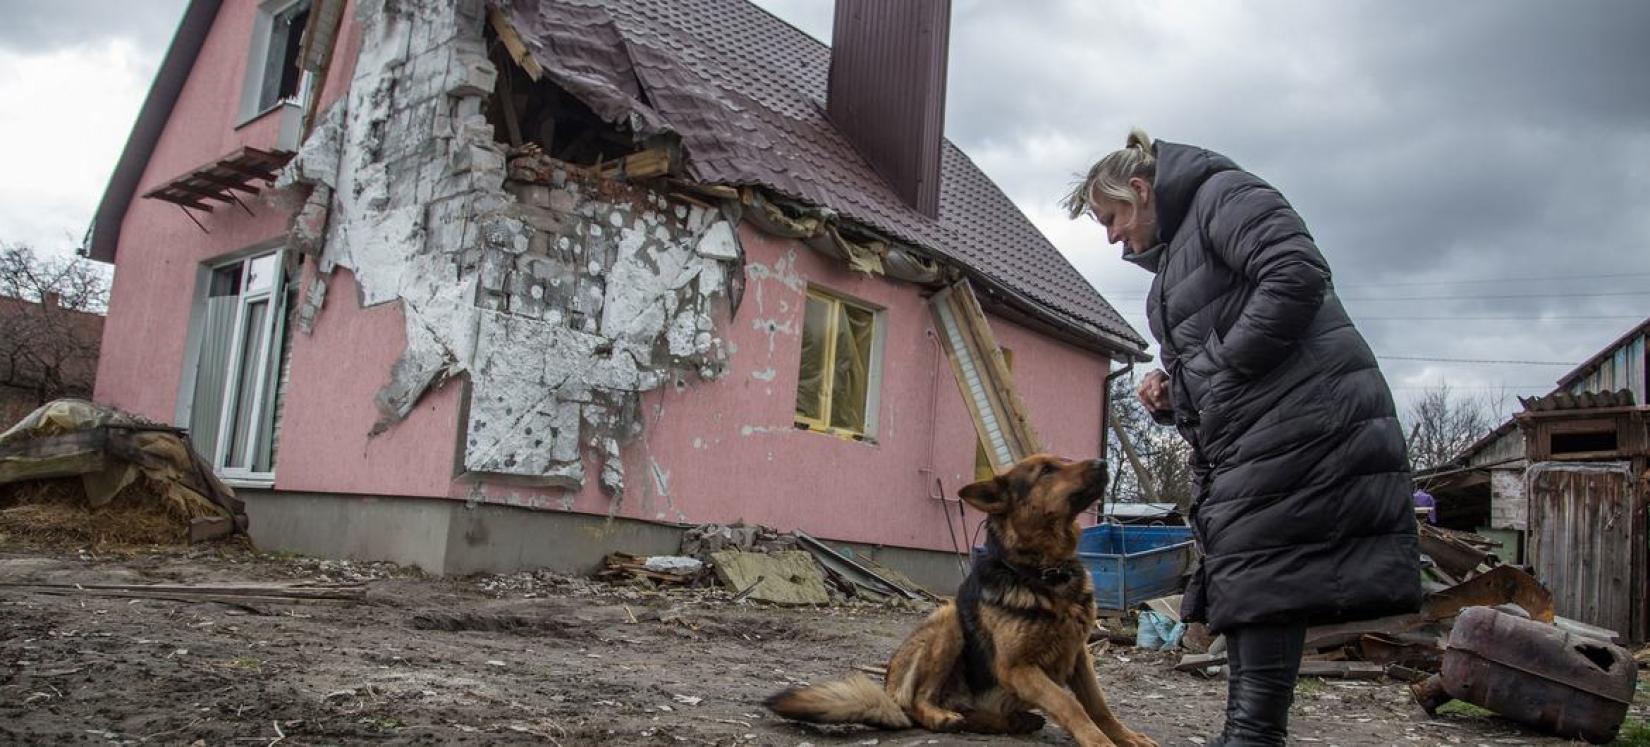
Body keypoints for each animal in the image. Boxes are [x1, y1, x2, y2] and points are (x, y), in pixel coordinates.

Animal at [765, 455, 1155, 745]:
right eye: (1047, 470)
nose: (1102, 461)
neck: (1045, 572)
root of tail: (889, 692)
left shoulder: (1079, 656)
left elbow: (1099, 706)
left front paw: (1127, 737)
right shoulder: (1018, 668)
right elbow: (1070, 705)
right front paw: (1098, 741)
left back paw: (1009, 720)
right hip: (947, 619)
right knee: (920, 703)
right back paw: (943, 716)